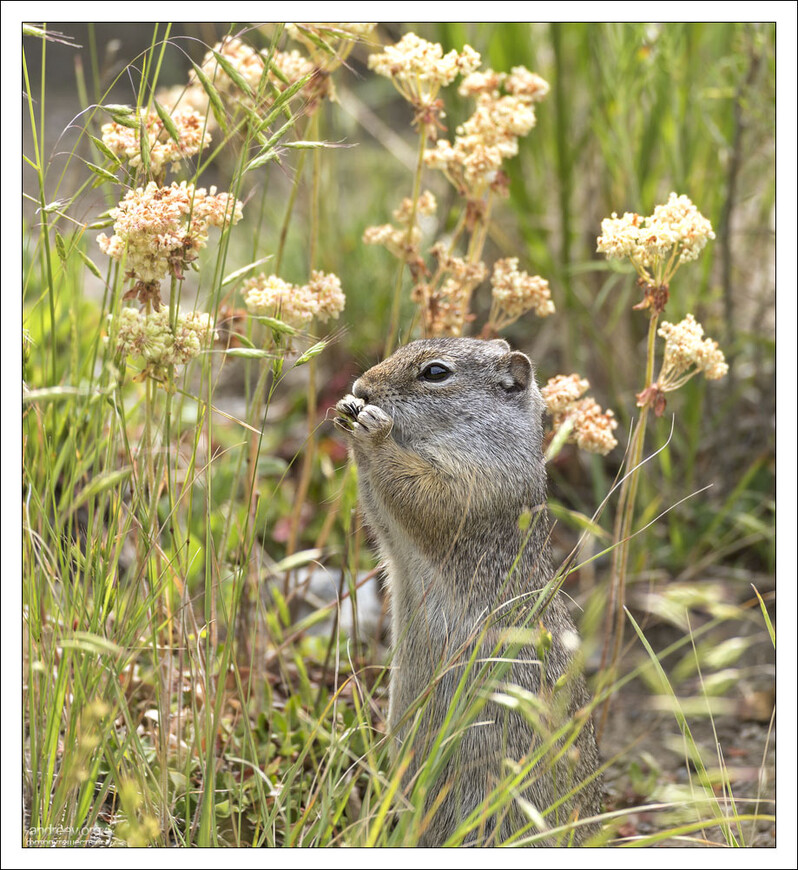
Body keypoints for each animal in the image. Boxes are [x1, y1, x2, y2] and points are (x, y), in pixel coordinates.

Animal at [334, 338, 604, 848]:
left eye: (436, 373)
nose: (361, 387)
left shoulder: (469, 490)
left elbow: (419, 496)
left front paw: (374, 431)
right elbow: (381, 512)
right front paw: (348, 413)